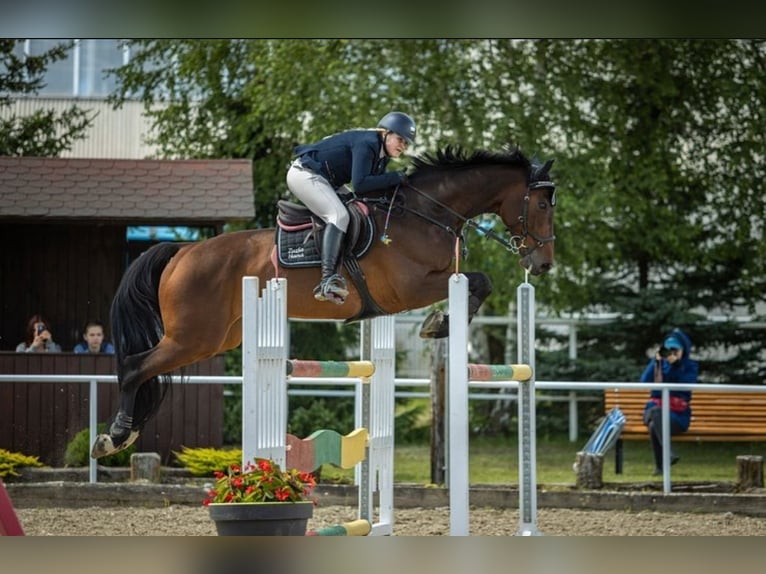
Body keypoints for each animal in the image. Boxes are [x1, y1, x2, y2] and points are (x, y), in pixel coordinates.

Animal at [90, 144, 560, 460]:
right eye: (540, 204)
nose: (543, 264)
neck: (426, 213)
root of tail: (181, 251)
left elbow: (479, 282)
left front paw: (441, 323)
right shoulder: (409, 288)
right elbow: (478, 280)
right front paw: (438, 324)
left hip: (216, 338)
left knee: (147, 369)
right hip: (192, 337)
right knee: (135, 368)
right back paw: (113, 437)